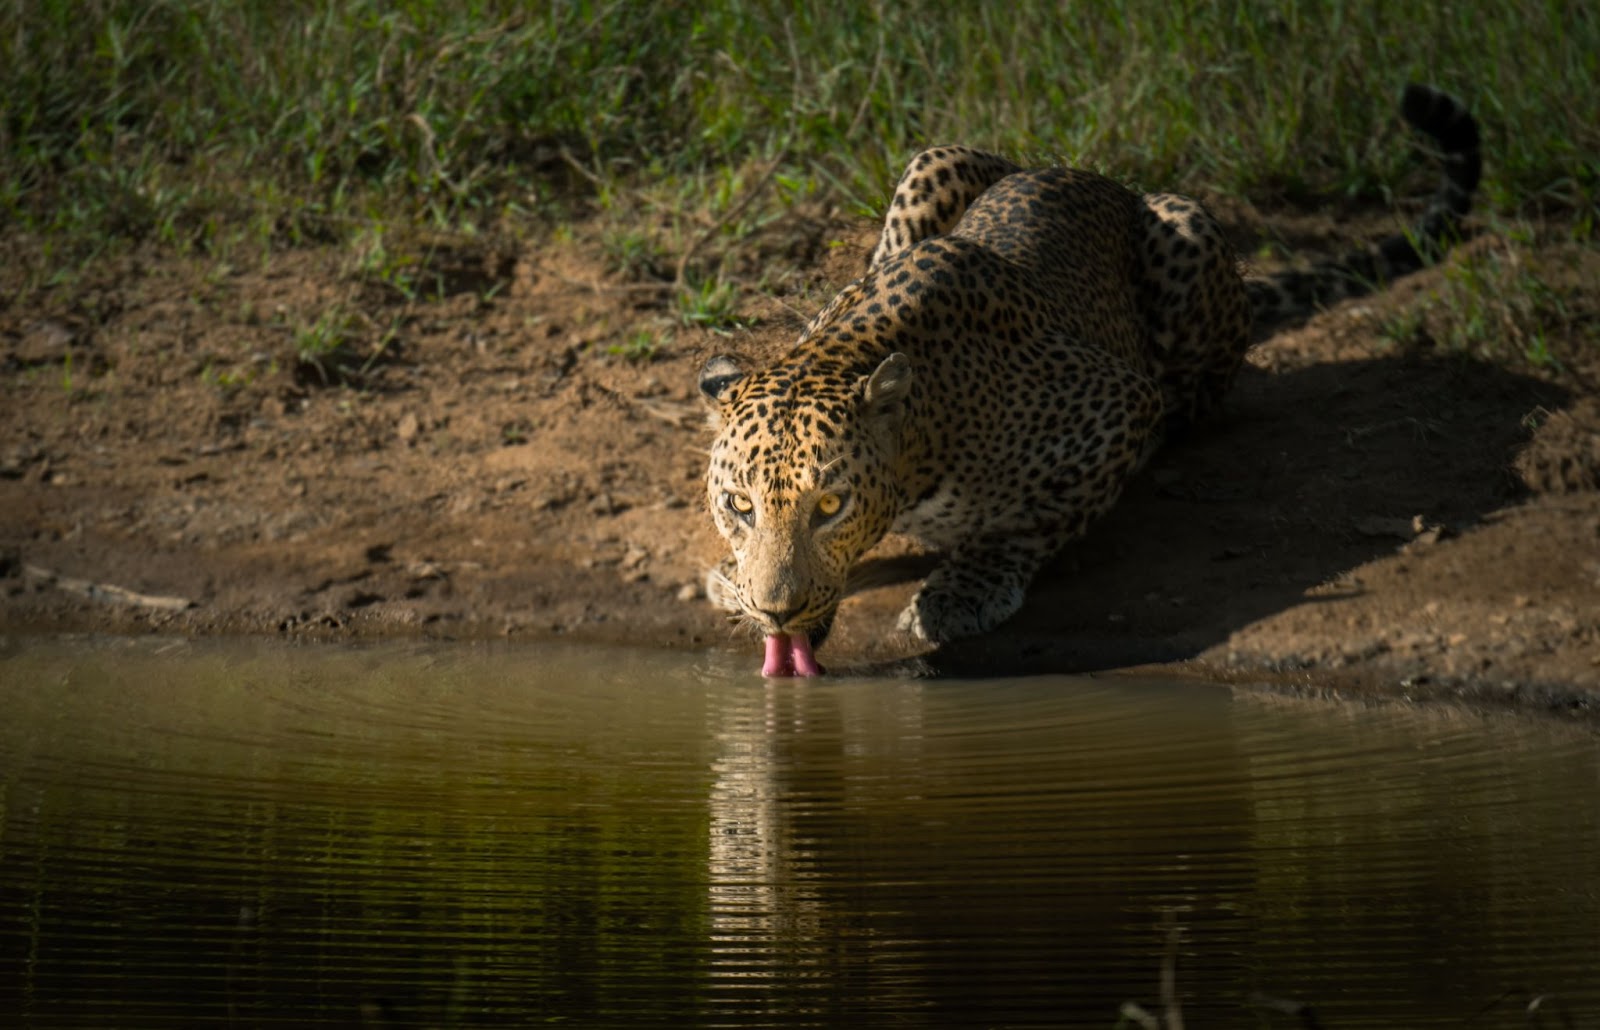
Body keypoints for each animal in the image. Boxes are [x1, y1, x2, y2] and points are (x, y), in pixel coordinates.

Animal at [694, 86, 1478, 674]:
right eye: (739, 505)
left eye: (830, 506)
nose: (776, 609)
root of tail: (1089, 174)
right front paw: (735, 585)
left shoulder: (1117, 405)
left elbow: (1033, 517)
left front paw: (962, 591)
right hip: (933, 160)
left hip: (1187, 235)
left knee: (1201, 392)